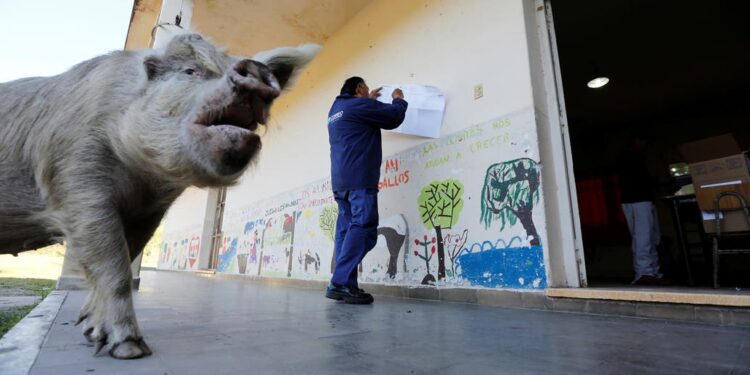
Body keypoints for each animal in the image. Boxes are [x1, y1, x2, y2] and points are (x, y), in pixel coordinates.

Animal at [0, 33, 320, 360]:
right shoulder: (76, 177)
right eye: (191, 71)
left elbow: (127, 257)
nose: (255, 69)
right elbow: (114, 268)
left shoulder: (148, 212)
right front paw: (130, 349)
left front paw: (91, 333)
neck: (142, 178)